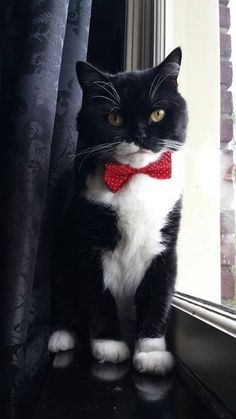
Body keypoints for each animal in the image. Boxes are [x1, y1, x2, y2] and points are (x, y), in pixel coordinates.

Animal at [48, 47, 188, 376]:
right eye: (114, 117)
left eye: (157, 114)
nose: (139, 135)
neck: (133, 177)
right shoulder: (86, 244)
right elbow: (96, 296)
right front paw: (109, 346)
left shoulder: (165, 247)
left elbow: (158, 294)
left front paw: (151, 352)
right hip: (60, 255)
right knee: (63, 296)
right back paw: (62, 335)